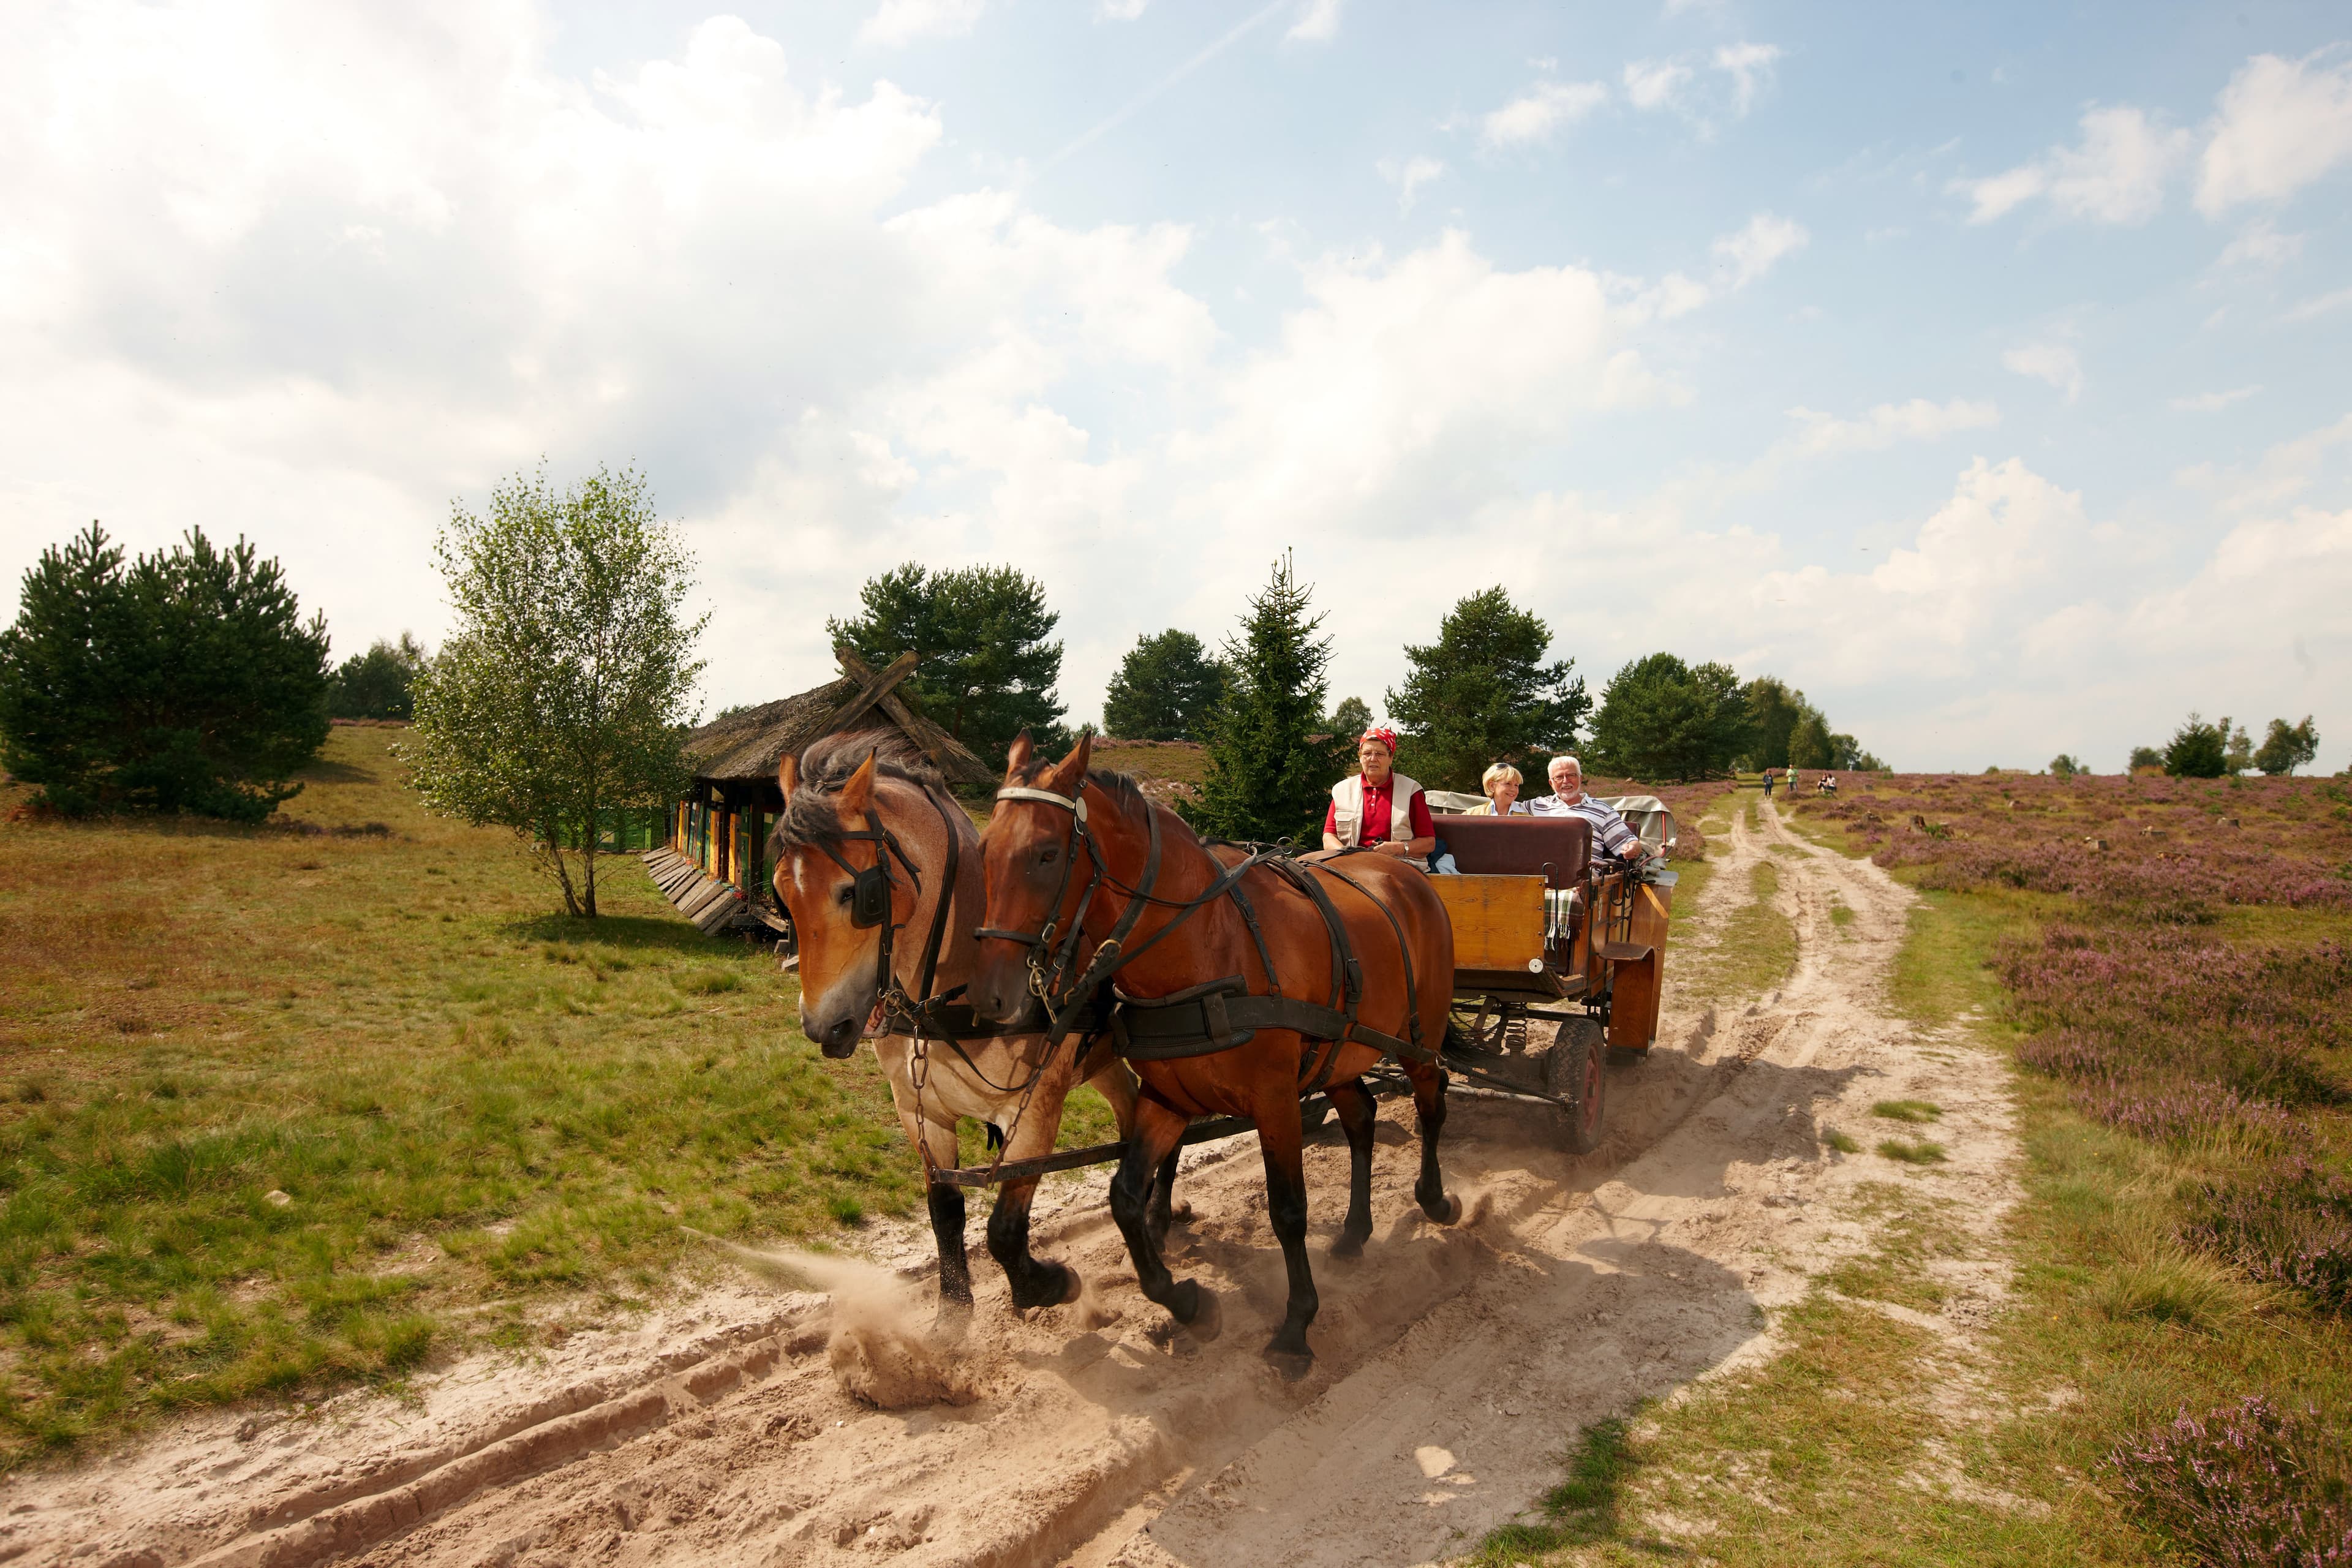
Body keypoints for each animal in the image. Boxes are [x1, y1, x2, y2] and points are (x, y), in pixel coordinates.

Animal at [771, 733, 1176, 1316]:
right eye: (782, 891)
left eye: (856, 894)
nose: (823, 1026)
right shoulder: (920, 1110)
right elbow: (946, 1213)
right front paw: (952, 1315)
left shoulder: (1034, 1114)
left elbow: (1005, 1229)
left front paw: (1050, 1285)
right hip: (1102, 1062)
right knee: (1132, 1118)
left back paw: (1161, 1215)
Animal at [969, 728, 1449, 1363]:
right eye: (984, 850)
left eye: (1048, 854)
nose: (990, 996)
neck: (1207, 946)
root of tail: (1406, 874)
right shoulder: (1168, 1099)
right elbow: (1126, 1197)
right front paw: (1185, 1301)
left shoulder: (1275, 1102)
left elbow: (1288, 1210)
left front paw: (1296, 1324)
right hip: (1341, 1054)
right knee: (1362, 1118)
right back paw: (1353, 1232)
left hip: (1419, 1040)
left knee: (1432, 1104)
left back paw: (1435, 1198)